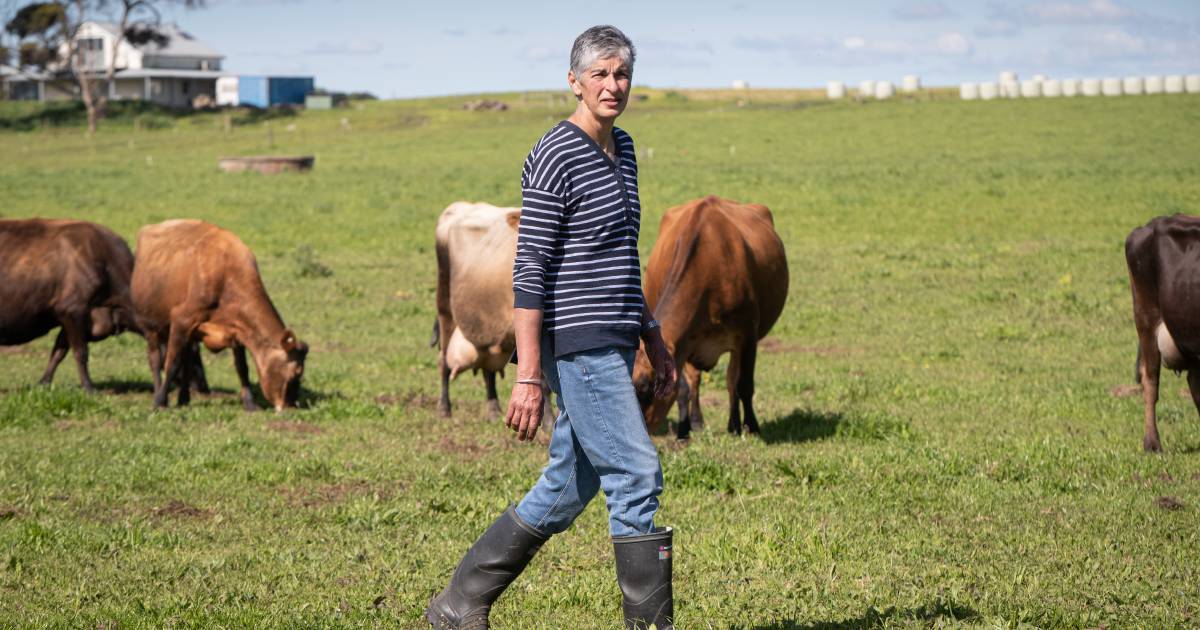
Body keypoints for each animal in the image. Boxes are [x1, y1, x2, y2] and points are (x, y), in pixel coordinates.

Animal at [0, 218, 137, 391]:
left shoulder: (72, 318)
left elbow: (58, 352)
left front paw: (44, 382)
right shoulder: (72, 309)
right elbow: (80, 352)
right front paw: (88, 387)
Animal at [130, 218, 307, 410]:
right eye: (296, 373)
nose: (291, 406)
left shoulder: (237, 328)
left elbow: (242, 367)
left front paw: (250, 403)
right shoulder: (181, 319)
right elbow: (172, 363)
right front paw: (160, 402)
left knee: (187, 359)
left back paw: (184, 398)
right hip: (150, 326)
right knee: (155, 360)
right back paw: (159, 394)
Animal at [628, 195, 787, 436]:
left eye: (646, 389)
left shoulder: (748, 335)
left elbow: (743, 384)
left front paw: (751, 426)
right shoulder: (683, 343)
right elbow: (683, 387)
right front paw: (684, 428)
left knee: (732, 380)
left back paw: (734, 424)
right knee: (697, 379)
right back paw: (696, 421)